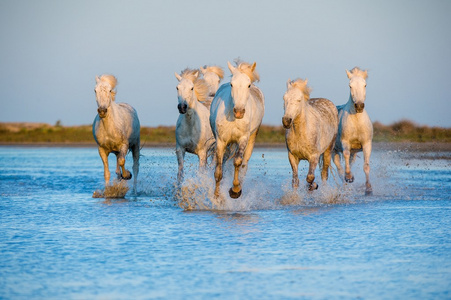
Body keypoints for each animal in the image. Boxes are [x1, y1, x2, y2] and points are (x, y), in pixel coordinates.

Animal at [211, 60, 264, 199]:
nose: (239, 112)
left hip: (251, 139)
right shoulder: (221, 141)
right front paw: (217, 196)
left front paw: (235, 190)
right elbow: (218, 170)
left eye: (248, 85)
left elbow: (237, 162)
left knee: (244, 165)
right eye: (231, 84)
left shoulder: (243, 139)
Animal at [332, 67, 374, 196]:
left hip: (354, 152)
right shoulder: (345, 142)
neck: (356, 121)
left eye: (365, 85)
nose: (359, 106)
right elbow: (345, 156)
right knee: (339, 169)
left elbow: (366, 166)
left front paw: (368, 189)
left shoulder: (366, 144)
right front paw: (349, 177)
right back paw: (346, 183)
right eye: (350, 86)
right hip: (333, 151)